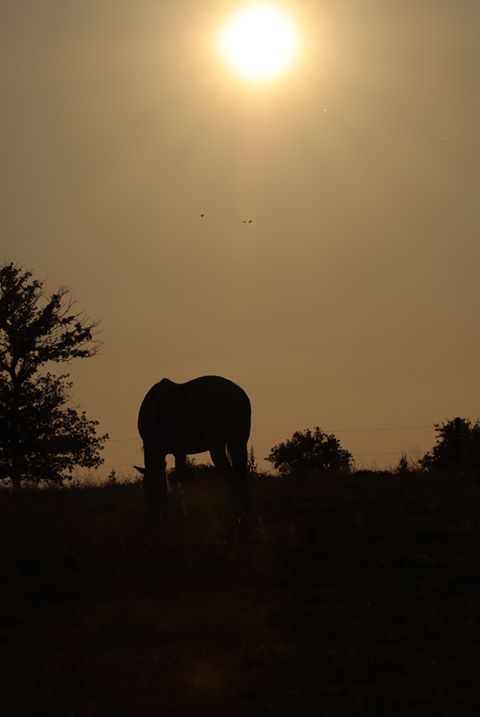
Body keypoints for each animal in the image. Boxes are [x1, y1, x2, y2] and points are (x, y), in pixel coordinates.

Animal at [133, 374, 249, 532]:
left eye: (148, 490)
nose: (155, 518)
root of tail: (237, 395)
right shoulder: (179, 452)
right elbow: (175, 481)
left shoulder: (172, 452)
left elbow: (174, 482)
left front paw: (180, 516)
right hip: (239, 442)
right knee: (241, 477)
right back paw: (244, 519)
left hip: (217, 447)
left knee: (230, 477)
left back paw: (235, 518)